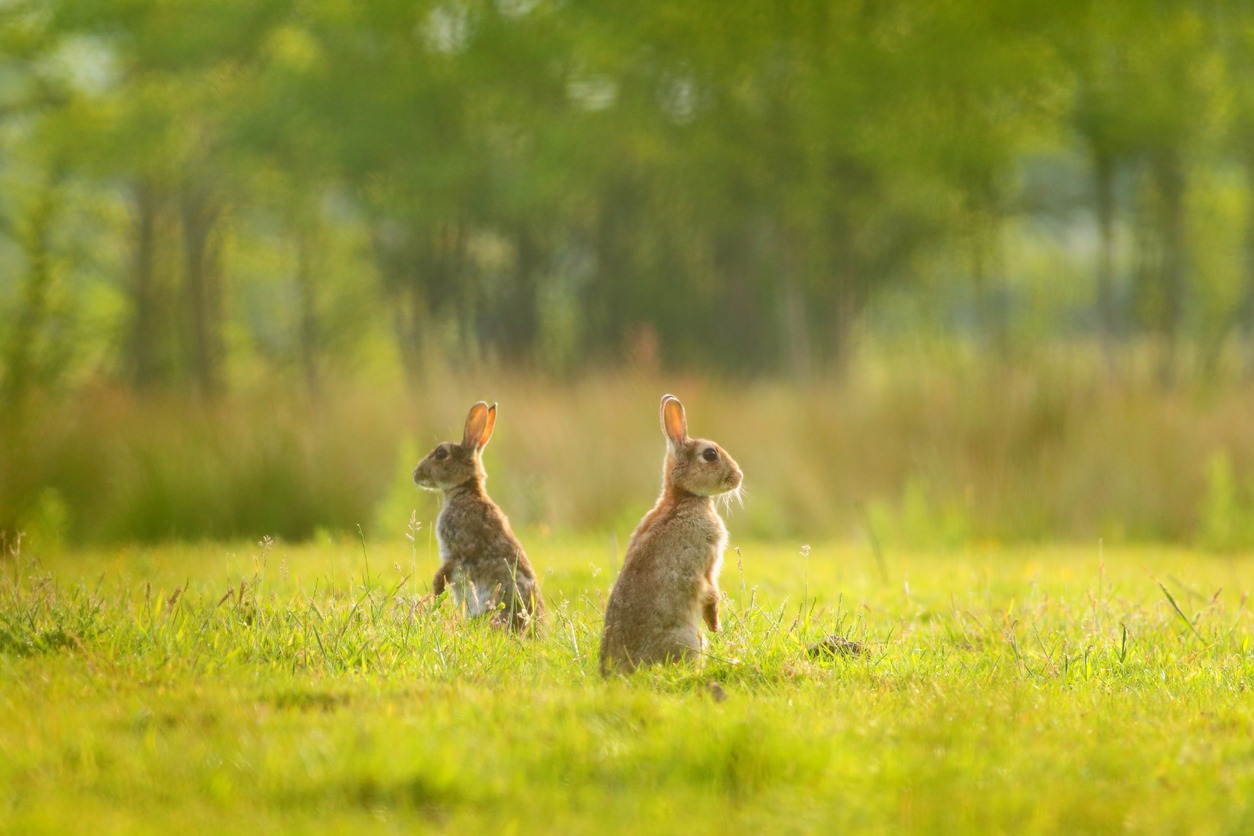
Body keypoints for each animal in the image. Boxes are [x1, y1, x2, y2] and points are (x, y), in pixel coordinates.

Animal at [412, 401, 544, 633]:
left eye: (441, 454)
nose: (416, 474)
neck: (466, 490)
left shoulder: (456, 550)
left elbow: (442, 575)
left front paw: (434, 599)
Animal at [599, 394, 743, 675]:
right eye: (710, 454)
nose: (738, 477)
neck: (683, 498)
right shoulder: (707, 561)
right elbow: (710, 593)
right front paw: (716, 627)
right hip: (688, 639)